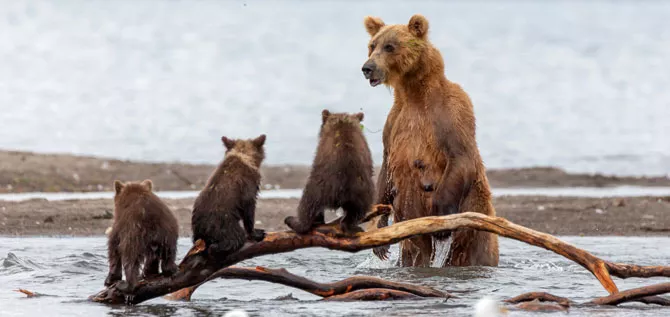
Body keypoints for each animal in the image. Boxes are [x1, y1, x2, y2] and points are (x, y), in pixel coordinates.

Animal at [362, 13, 498, 266]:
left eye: (390, 46)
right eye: (372, 45)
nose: (368, 68)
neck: (414, 93)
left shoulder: (451, 113)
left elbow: (460, 156)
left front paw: (441, 224)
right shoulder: (394, 122)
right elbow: (386, 166)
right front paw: (379, 233)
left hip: (475, 225)